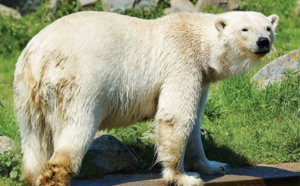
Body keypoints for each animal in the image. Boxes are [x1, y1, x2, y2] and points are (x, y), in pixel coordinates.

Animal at [13, 10, 278, 185]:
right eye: (244, 29)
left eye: (268, 28)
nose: (263, 42)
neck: (200, 43)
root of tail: (38, 55)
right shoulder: (180, 62)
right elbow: (176, 116)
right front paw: (184, 177)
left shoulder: (201, 77)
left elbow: (194, 122)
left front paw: (214, 165)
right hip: (79, 82)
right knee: (76, 130)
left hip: (26, 93)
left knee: (34, 139)